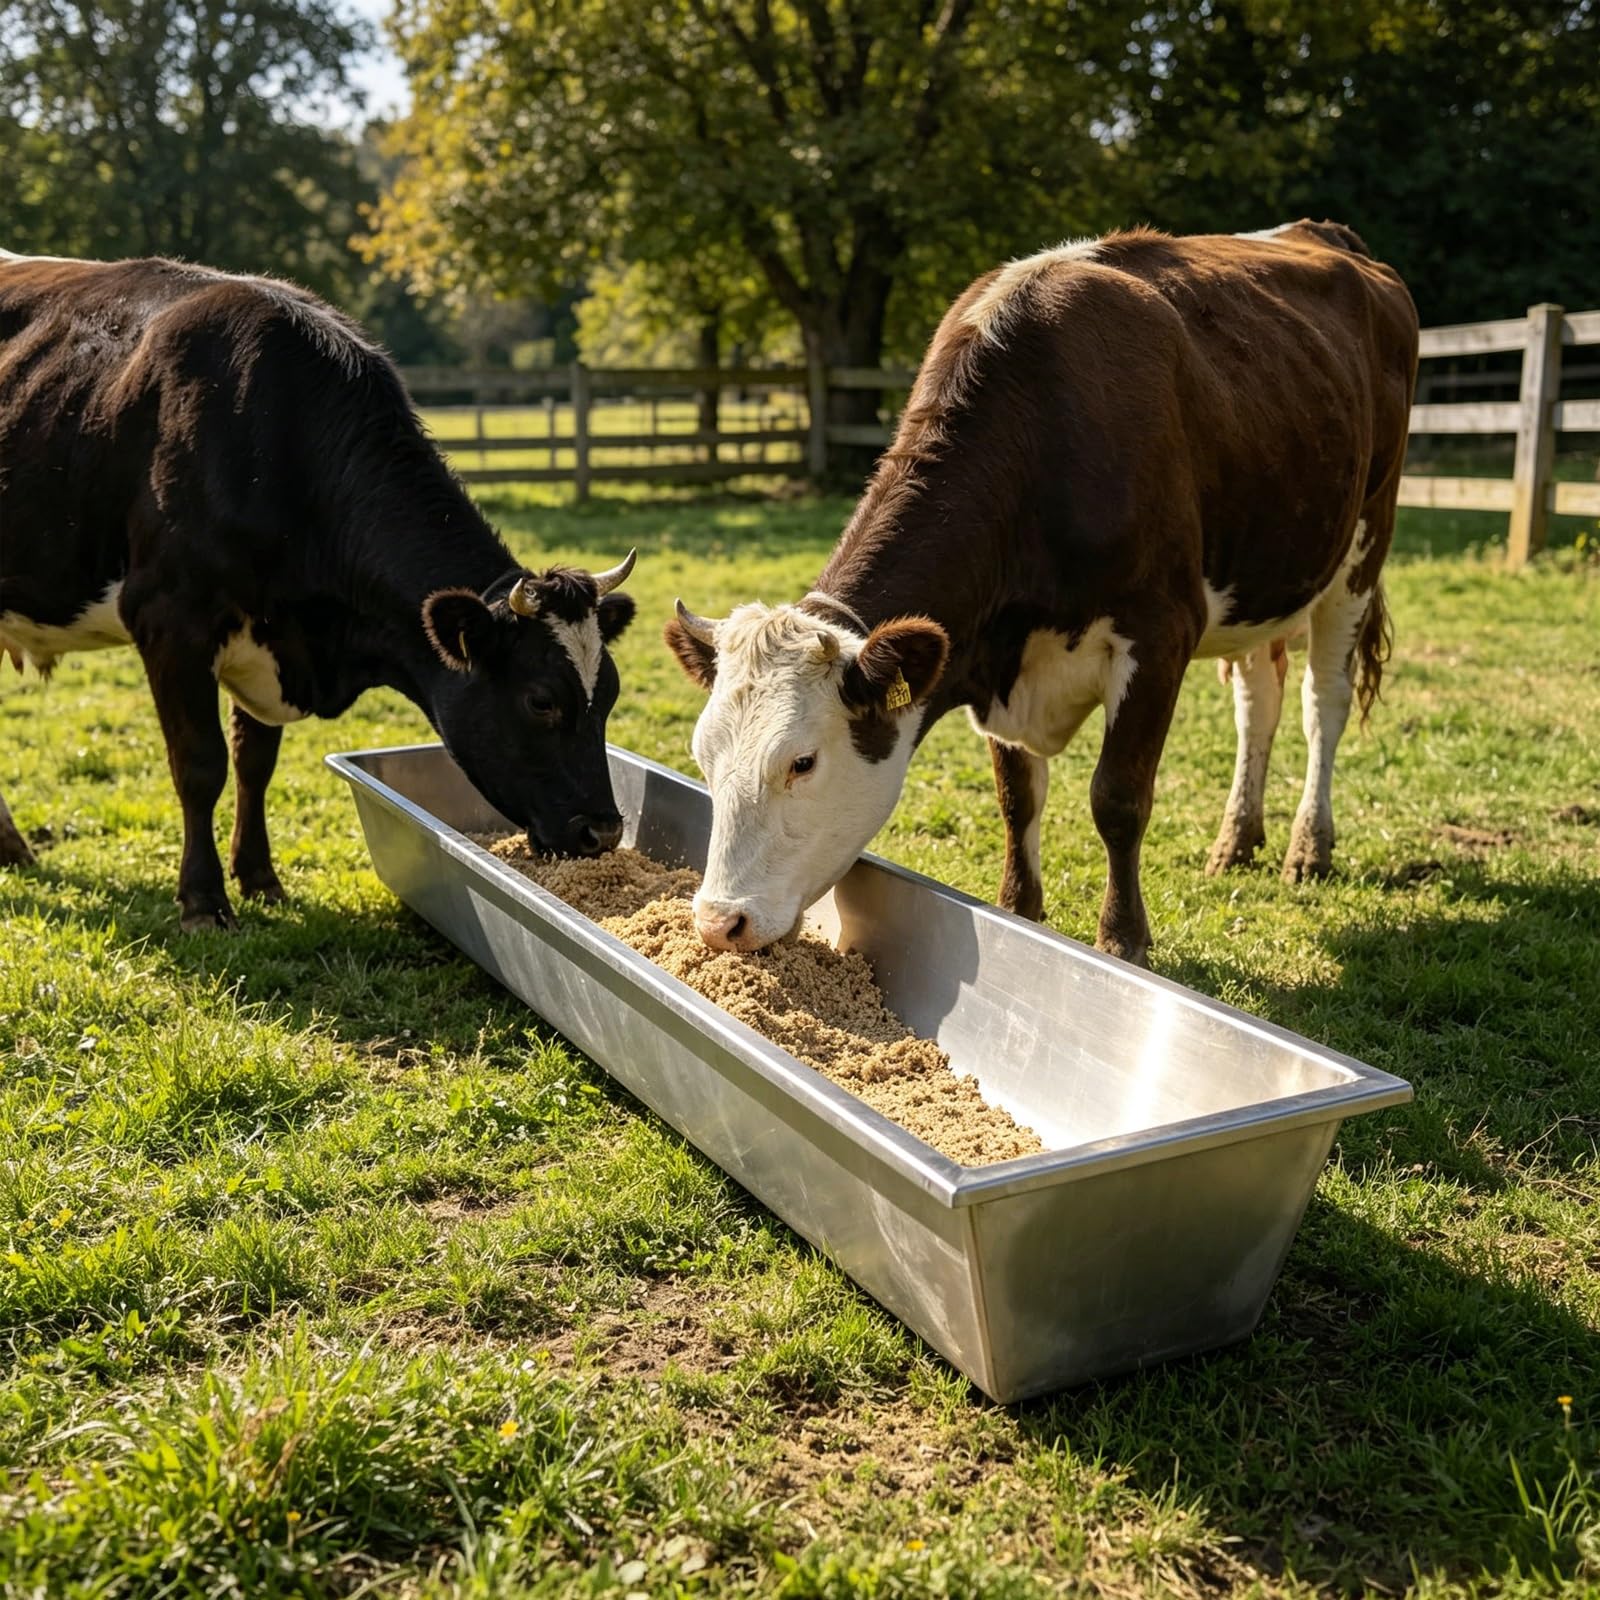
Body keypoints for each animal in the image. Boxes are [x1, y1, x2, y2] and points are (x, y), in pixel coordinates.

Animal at [0, 251, 638, 929]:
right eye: (541, 700)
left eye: (610, 694)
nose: (603, 832)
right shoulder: (171, 621)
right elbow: (200, 766)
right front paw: (204, 901)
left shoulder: (271, 638)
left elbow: (255, 762)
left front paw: (260, 878)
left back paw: (13, 847)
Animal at [665, 221, 1418, 968]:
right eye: (702, 754)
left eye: (802, 762)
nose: (719, 923)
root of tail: (1324, 235)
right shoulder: (992, 654)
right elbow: (1016, 798)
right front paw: (1019, 912)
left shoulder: (1161, 631)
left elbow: (1117, 797)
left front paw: (1123, 938)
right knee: (1258, 699)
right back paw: (1237, 839)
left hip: (1363, 546)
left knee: (1324, 702)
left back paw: (1308, 847)